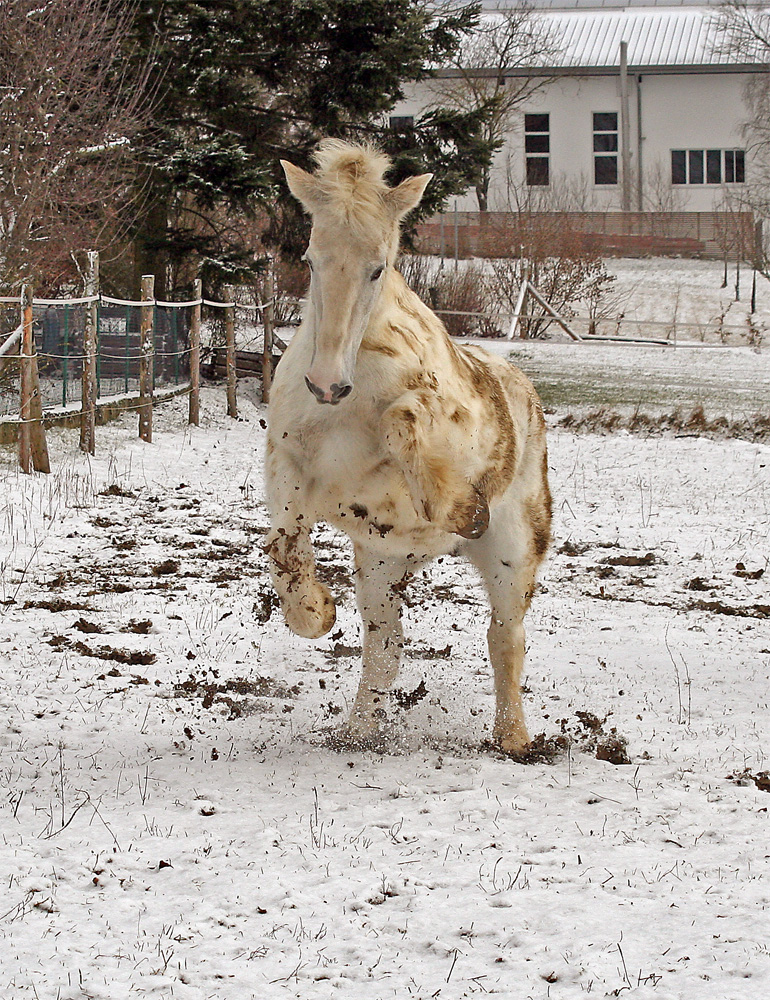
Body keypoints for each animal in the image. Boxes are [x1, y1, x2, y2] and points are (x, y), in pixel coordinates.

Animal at [260, 139, 548, 752]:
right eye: (311, 259)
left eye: (378, 267)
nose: (326, 384)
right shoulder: (288, 469)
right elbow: (285, 550)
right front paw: (318, 610)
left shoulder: (441, 438)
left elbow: (409, 419)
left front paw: (459, 507)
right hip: (381, 563)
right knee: (384, 646)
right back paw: (357, 733)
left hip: (512, 554)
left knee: (505, 638)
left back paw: (513, 740)